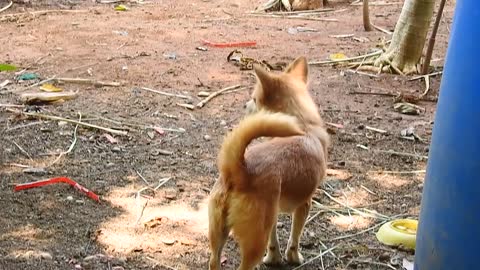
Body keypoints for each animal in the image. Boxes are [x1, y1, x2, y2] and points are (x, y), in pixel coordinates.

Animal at [208, 56, 332, 268]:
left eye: (254, 98)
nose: (244, 105)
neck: (304, 124)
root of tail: (238, 170)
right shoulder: (304, 205)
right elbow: (294, 238)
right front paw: (293, 258)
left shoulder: (273, 214)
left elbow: (273, 241)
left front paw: (273, 258)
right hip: (253, 243)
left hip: (219, 234)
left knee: (213, 261)